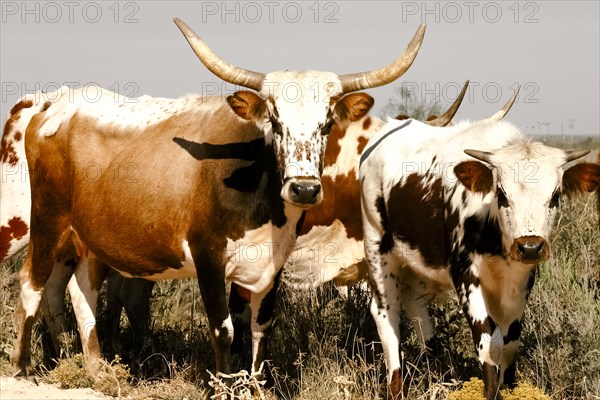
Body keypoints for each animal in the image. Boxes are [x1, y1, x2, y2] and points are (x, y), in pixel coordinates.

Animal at [11, 16, 426, 378]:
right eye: (275, 122)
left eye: (326, 124)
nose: (304, 189)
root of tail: (50, 106)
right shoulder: (207, 257)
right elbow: (223, 329)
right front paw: (225, 384)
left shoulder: (272, 263)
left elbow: (260, 327)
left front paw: (255, 385)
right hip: (47, 220)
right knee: (31, 284)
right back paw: (23, 367)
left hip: (91, 238)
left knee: (82, 293)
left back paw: (99, 372)